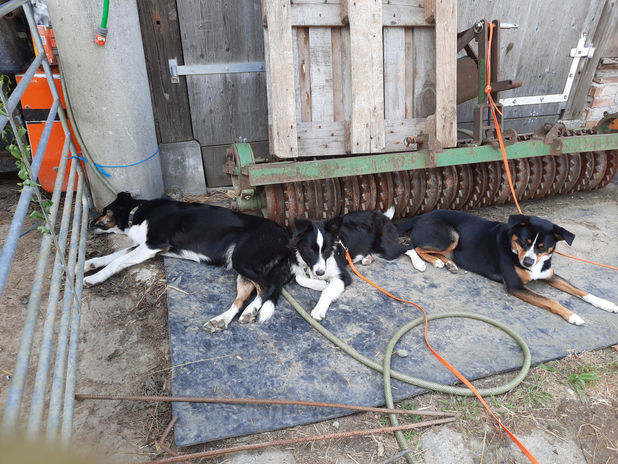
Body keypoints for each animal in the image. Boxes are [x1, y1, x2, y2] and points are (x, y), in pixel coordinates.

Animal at [83, 192, 296, 331]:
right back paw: (221, 320)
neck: (135, 213)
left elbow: (116, 261)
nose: (89, 224)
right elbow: (114, 256)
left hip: (242, 260)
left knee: (268, 288)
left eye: (104, 211)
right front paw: (89, 264)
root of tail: (285, 237)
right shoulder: (146, 247)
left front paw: (93, 278)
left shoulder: (153, 245)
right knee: (244, 296)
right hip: (241, 266)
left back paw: (250, 312)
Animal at [397, 209, 617, 324]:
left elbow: (581, 291)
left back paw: (448, 263)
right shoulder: (515, 286)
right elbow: (550, 300)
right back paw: (426, 262)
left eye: (542, 247)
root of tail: (422, 215)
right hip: (451, 236)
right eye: (523, 242)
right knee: (411, 246)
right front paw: (572, 315)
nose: (527, 263)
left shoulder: (549, 275)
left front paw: (606, 304)